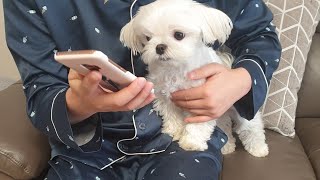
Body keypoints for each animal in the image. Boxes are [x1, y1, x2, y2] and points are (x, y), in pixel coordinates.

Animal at [119, 0, 268, 157]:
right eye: (148, 38)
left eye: (179, 35)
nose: (159, 47)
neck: (176, 68)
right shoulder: (165, 99)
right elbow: (172, 116)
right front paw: (174, 131)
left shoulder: (203, 104)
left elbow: (198, 126)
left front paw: (191, 143)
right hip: (221, 114)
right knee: (225, 125)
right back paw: (227, 147)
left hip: (241, 109)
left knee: (252, 128)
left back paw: (258, 148)